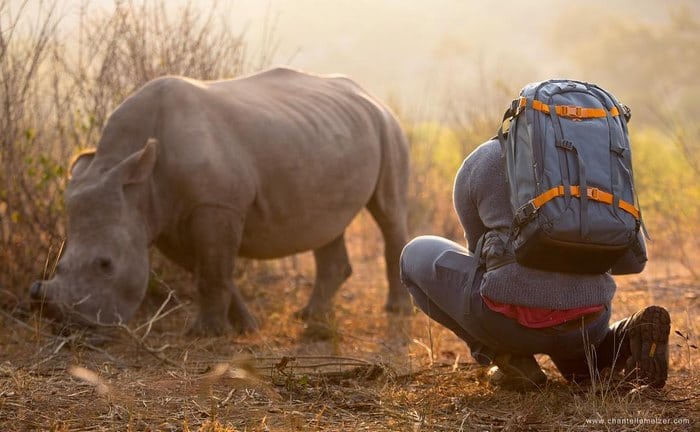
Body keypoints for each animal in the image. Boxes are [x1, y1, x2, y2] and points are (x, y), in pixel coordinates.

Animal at [30, 67, 412, 336]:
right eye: (60, 265)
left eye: (105, 264)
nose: (65, 322)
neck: (136, 178)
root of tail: (369, 94)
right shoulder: (167, 217)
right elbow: (210, 270)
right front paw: (246, 326)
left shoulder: (215, 205)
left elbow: (212, 271)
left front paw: (206, 333)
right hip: (332, 133)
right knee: (326, 225)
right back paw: (309, 315)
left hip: (388, 126)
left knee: (389, 211)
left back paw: (397, 310)